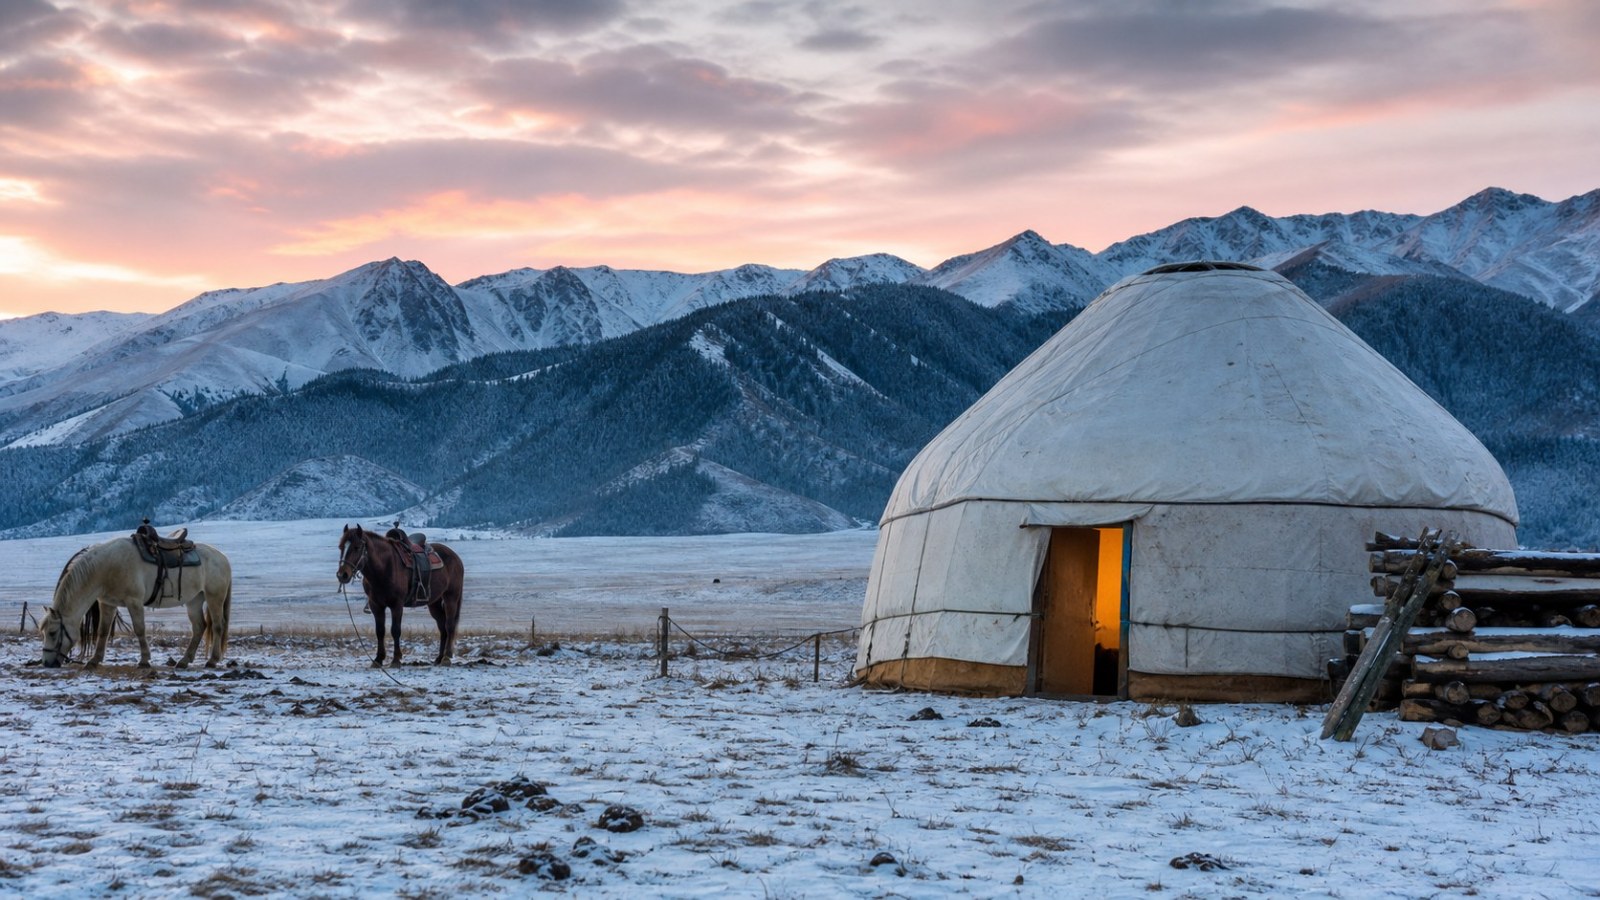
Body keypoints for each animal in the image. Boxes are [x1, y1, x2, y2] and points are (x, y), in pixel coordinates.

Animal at [40, 537, 233, 670]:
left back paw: (212, 660)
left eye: (52, 632)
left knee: (217, 626)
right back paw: (184, 661)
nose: (47, 663)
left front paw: (144, 660)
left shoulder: (134, 602)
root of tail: (222, 557)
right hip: (194, 600)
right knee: (199, 627)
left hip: (214, 597)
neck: (106, 567)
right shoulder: (107, 604)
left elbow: (139, 629)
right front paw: (94, 660)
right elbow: (103, 631)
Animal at [336, 525, 464, 667]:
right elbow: (380, 631)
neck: (385, 567)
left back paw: (446, 657)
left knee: (449, 625)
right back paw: (439, 658)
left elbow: (395, 630)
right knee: (442, 627)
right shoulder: (376, 605)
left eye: (357, 547)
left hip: (451, 597)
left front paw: (396, 659)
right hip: (434, 602)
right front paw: (378, 659)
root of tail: (456, 558)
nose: (342, 575)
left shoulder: (397, 605)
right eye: (341, 547)